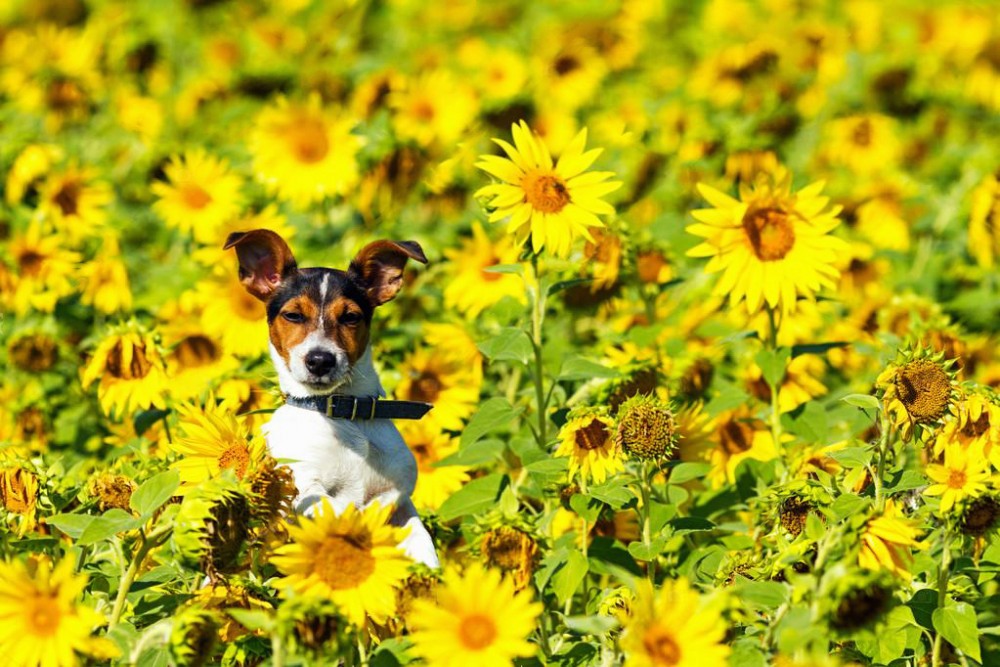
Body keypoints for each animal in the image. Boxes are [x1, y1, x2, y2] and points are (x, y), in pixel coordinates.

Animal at [225, 228, 440, 568]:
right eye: (293, 315)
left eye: (351, 317)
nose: (320, 360)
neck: (342, 412)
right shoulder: (303, 486)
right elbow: (340, 510)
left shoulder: (399, 496)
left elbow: (418, 537)